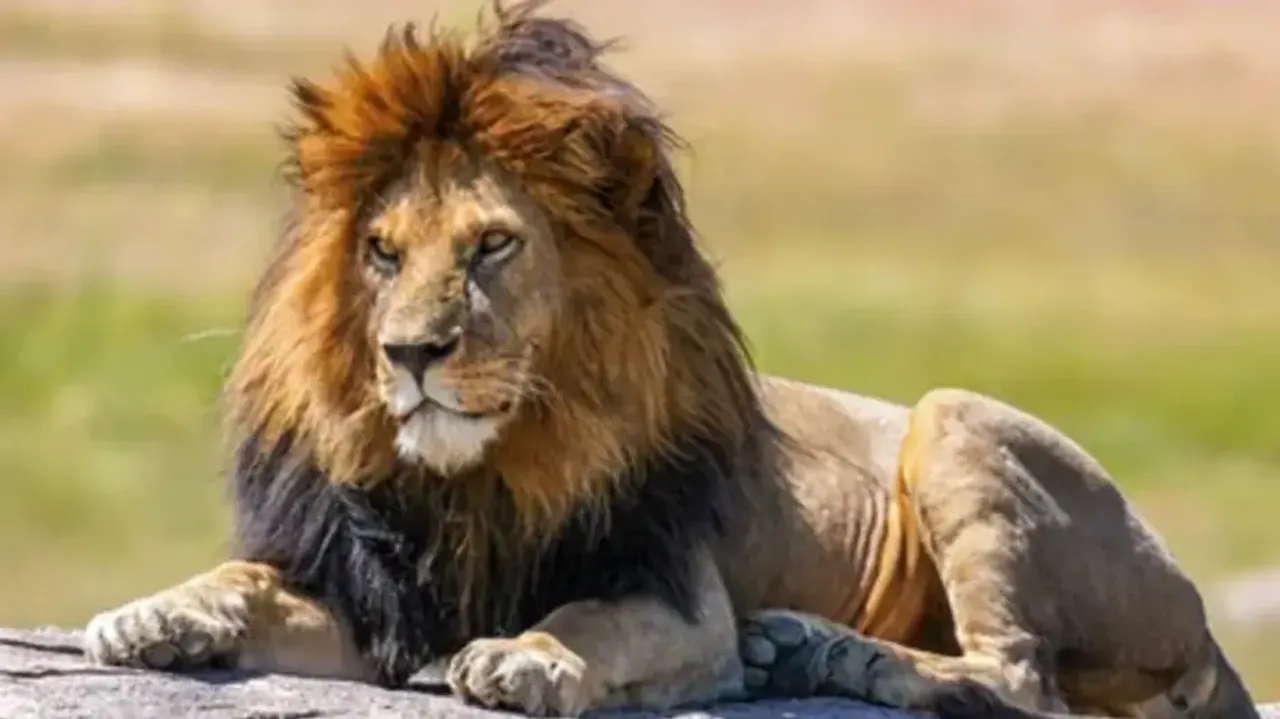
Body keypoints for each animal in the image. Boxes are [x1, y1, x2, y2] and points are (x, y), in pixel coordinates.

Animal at [81, 3, 1260, 718]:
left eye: (492, 245)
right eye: (381, 251)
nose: (408, 351)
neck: (483, 478)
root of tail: (1204, 621)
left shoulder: (678, 601)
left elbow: (587, 619)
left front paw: (525, 655)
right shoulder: (375, 602)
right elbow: (245, 579)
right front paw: (157, 612)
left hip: (954, 415)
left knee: (1020, 679)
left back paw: (833, 654)